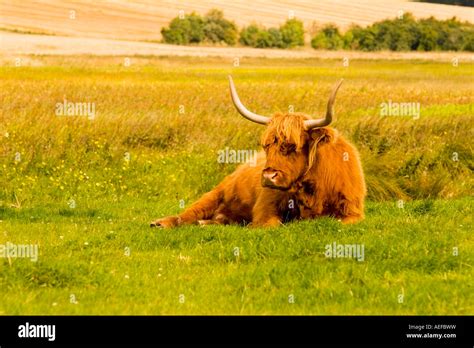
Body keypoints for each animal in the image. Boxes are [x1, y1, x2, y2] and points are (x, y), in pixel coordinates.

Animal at [152, 76, 366, 228]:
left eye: (292, 146)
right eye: (266, 146)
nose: (268, 177)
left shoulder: (353, 211)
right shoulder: (265, 209)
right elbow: (271, 224)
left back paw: (207, 223)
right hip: (216, 193)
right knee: (189, 213)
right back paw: (161, 223)